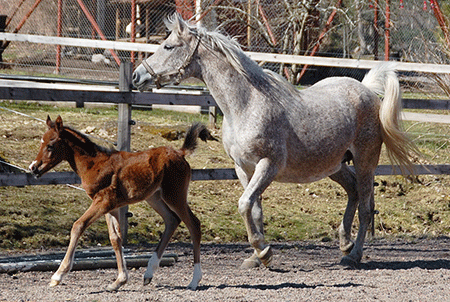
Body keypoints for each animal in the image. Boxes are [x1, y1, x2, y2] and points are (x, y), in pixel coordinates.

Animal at [29, 115, 213, 290]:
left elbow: (78, 226)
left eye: (50, 145)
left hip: (175, 195)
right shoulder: (110, 206)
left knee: (193, 224)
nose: (34, 168)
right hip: (155, 197)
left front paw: (57, 276)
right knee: (172, 220)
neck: (94, 164)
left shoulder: (102, 201)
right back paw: (148, 273)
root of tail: (180, 153)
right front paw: (119, 281)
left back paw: (194, 281)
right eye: (41, 142)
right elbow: (115, 238)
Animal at [132, 14, 416, 268]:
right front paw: (258, 256)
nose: (137, 76)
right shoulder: (243, 168)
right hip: (334, 165)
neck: (246, 105)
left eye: (168, 46)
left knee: (366, 206)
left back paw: (353, 255)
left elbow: (244, 203)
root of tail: (366, 89)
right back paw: (344, 243)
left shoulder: (268, 165)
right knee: (354, 191)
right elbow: (254, 209)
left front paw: (263, 250)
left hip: (365, 160)